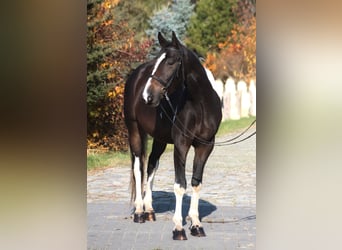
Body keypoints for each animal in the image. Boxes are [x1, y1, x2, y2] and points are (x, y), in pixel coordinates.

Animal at [123, 31, 222, 240]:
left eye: (170, 62)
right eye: (156, 63)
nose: (147, 96)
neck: (200, 104)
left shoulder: (205, 146)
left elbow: (196, 183)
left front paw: (196, 225)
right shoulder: (181, 145)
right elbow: (180, 184)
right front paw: (178, 228)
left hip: (159, 139)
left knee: (151, 165)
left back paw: (149, 210)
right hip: (134, 130)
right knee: (138, 167)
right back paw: (139, 212)